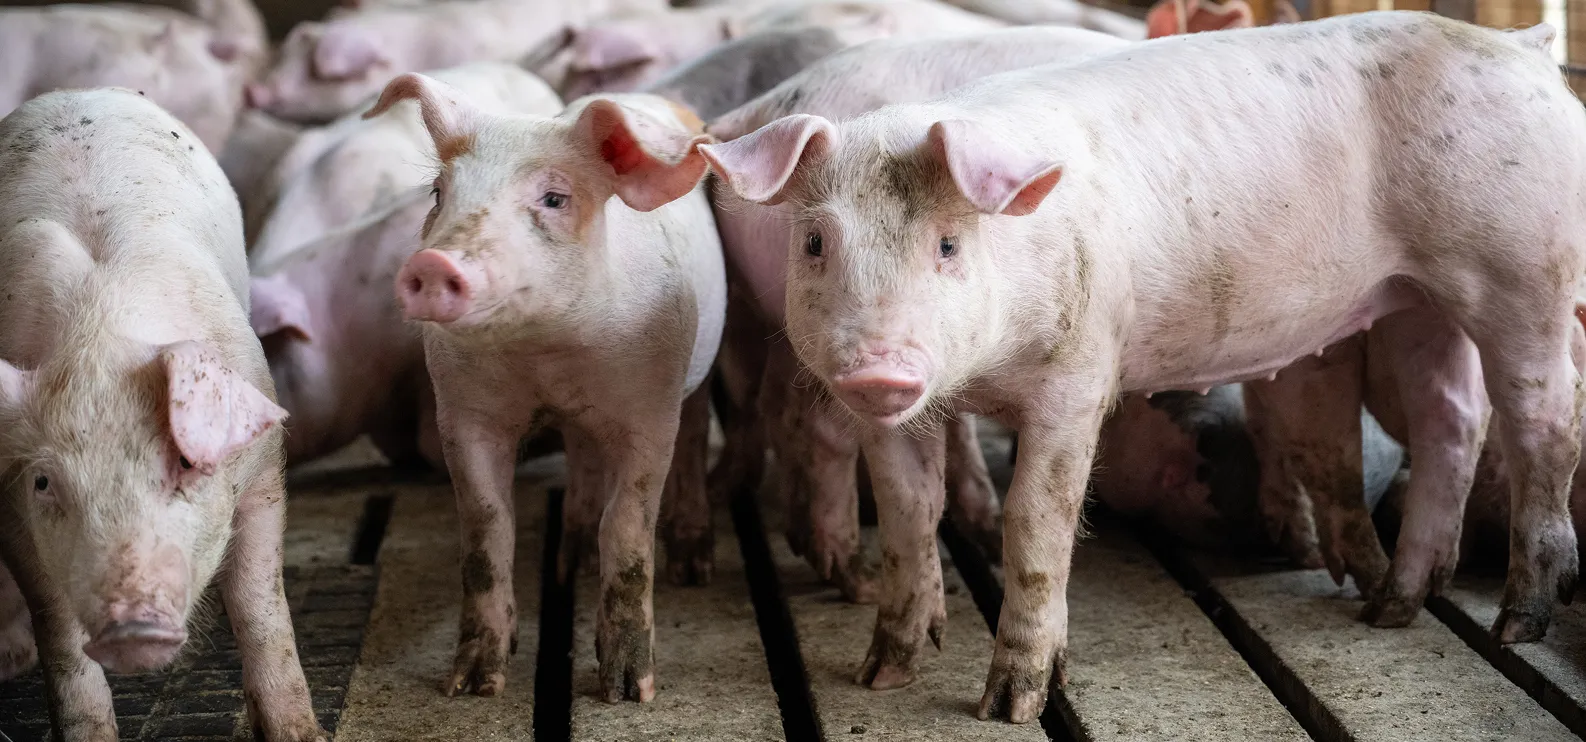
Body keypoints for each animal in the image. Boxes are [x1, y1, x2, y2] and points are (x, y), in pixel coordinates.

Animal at [0, 89, 321, 740]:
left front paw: (297, 732)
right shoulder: (8, 501)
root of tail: (75, 93)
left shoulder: (264, 469)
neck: (100, 340)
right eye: (45, 482)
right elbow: (59, 632)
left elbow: (259, 604)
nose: (132, 626)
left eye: (185, 462)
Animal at [365, 75, 725, 701]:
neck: (546, 354)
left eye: (555, 199)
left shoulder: (651, 407)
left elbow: (627, 527)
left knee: (693, 434)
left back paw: (692, 567)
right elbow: (486, 528)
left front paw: (628, 692)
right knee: (580, 455)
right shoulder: (463, 412)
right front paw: (473, 686)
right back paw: (570, 563)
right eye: (438, 192)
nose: (434, 263)